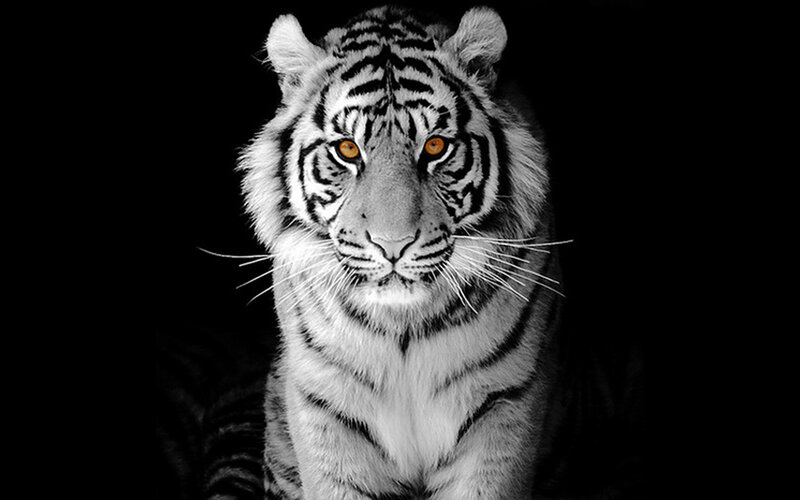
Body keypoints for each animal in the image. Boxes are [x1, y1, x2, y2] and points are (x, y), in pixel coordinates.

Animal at [234, 5, 566, 499]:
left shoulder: (507, 399)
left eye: (435, 146)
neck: (402, 329)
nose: (392, 244)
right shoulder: (324, 405)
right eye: (348, 149)